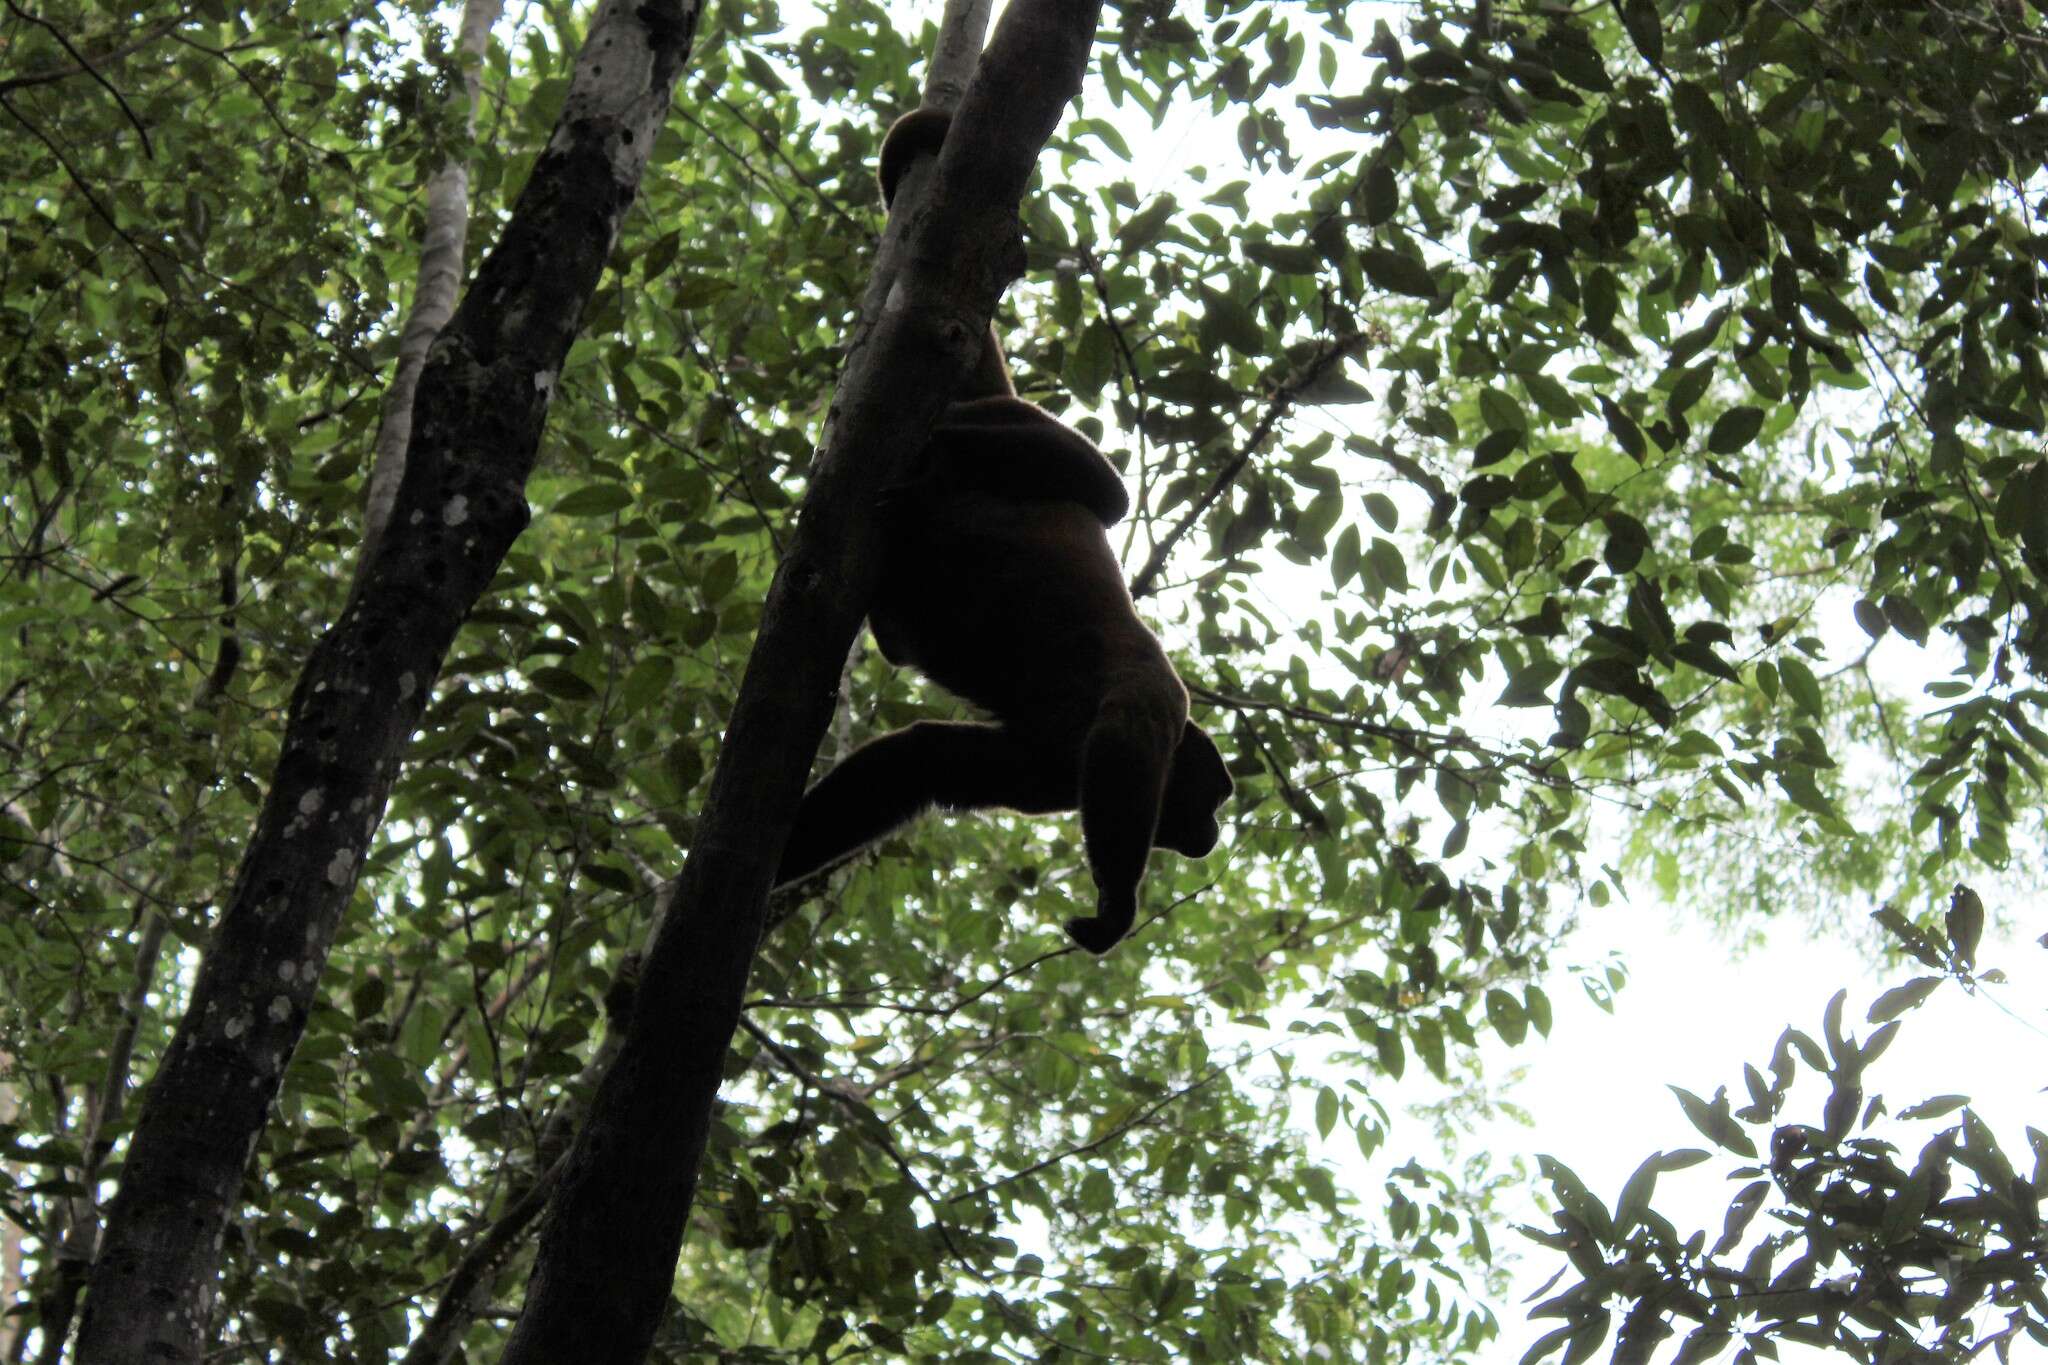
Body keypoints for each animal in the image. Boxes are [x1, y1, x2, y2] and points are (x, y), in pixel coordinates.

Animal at [770, 104, 1228, 949]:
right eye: (1211, 796)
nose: (1212, 834)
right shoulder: (1154, 701)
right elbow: (1124, 736)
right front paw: (1116, 908)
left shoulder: (1049, 771)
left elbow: (923, 764)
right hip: (1012, 422)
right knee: (1102, 491)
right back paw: (937, 463)